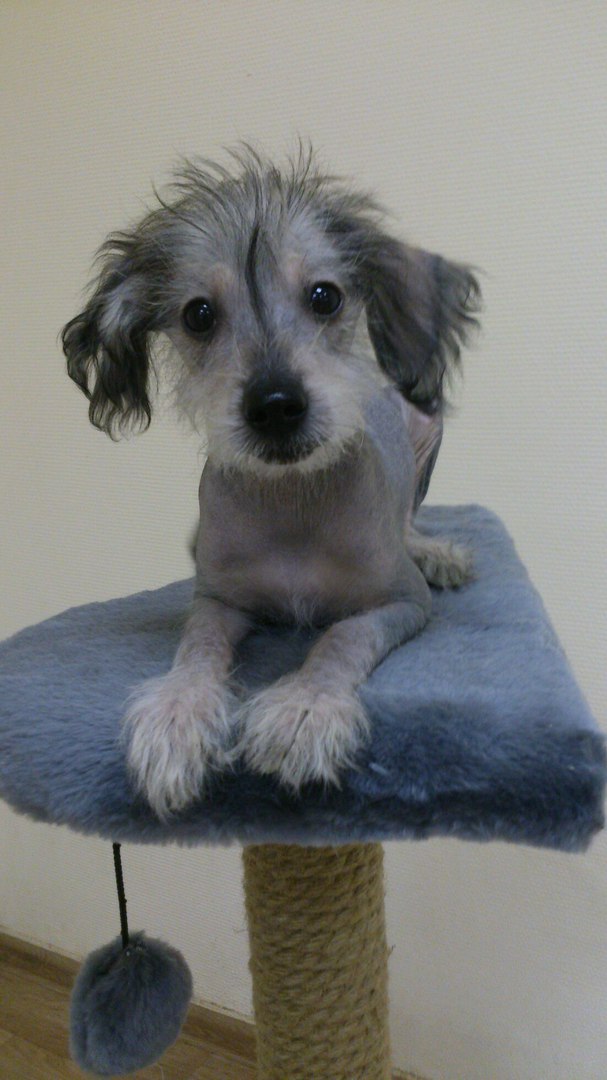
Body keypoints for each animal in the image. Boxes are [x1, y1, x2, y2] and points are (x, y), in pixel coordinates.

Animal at [62, 147, 480, 819]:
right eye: (198, 314)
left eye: (325, 296)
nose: (276, 405)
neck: (293, 501)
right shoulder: (218, 601)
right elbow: (197, 648)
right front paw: (178, 712)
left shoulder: (402, 603)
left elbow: (340, 637)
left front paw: (304, 708)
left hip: (425, 420)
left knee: (410, 518)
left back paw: (434, 551)